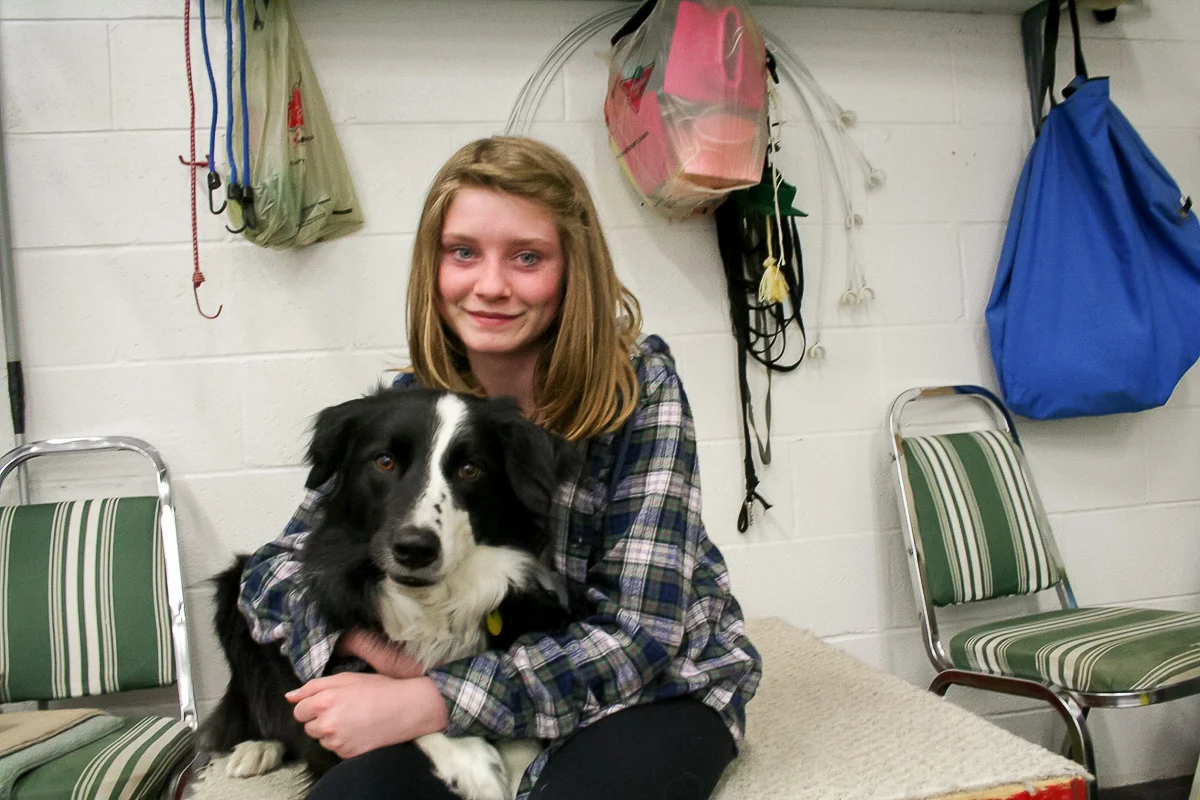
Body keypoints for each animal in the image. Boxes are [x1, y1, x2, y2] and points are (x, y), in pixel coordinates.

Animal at [200, 387, 578, 800]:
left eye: (470, 469)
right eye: (384, 461)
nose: (415, 549)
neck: (431, 601)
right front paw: (471, 760)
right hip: (234, 586)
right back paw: (256, 748)